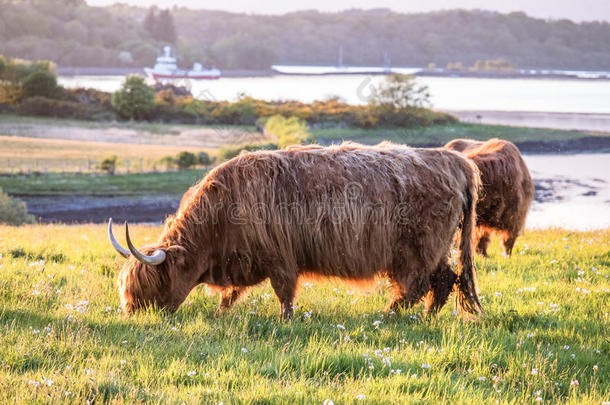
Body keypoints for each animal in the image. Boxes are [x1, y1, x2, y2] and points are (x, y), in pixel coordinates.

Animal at [108, 143, 480, 318]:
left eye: (155, 283)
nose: (133, 314)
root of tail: (454, 161)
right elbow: (232, 294)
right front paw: (219, 313)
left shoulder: (280, 256)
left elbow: (284, 291)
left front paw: (286, 319)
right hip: (435, 247)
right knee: (443, 279)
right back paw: (426, 315)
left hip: (419, 247)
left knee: (420, 283)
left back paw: (388, 314)